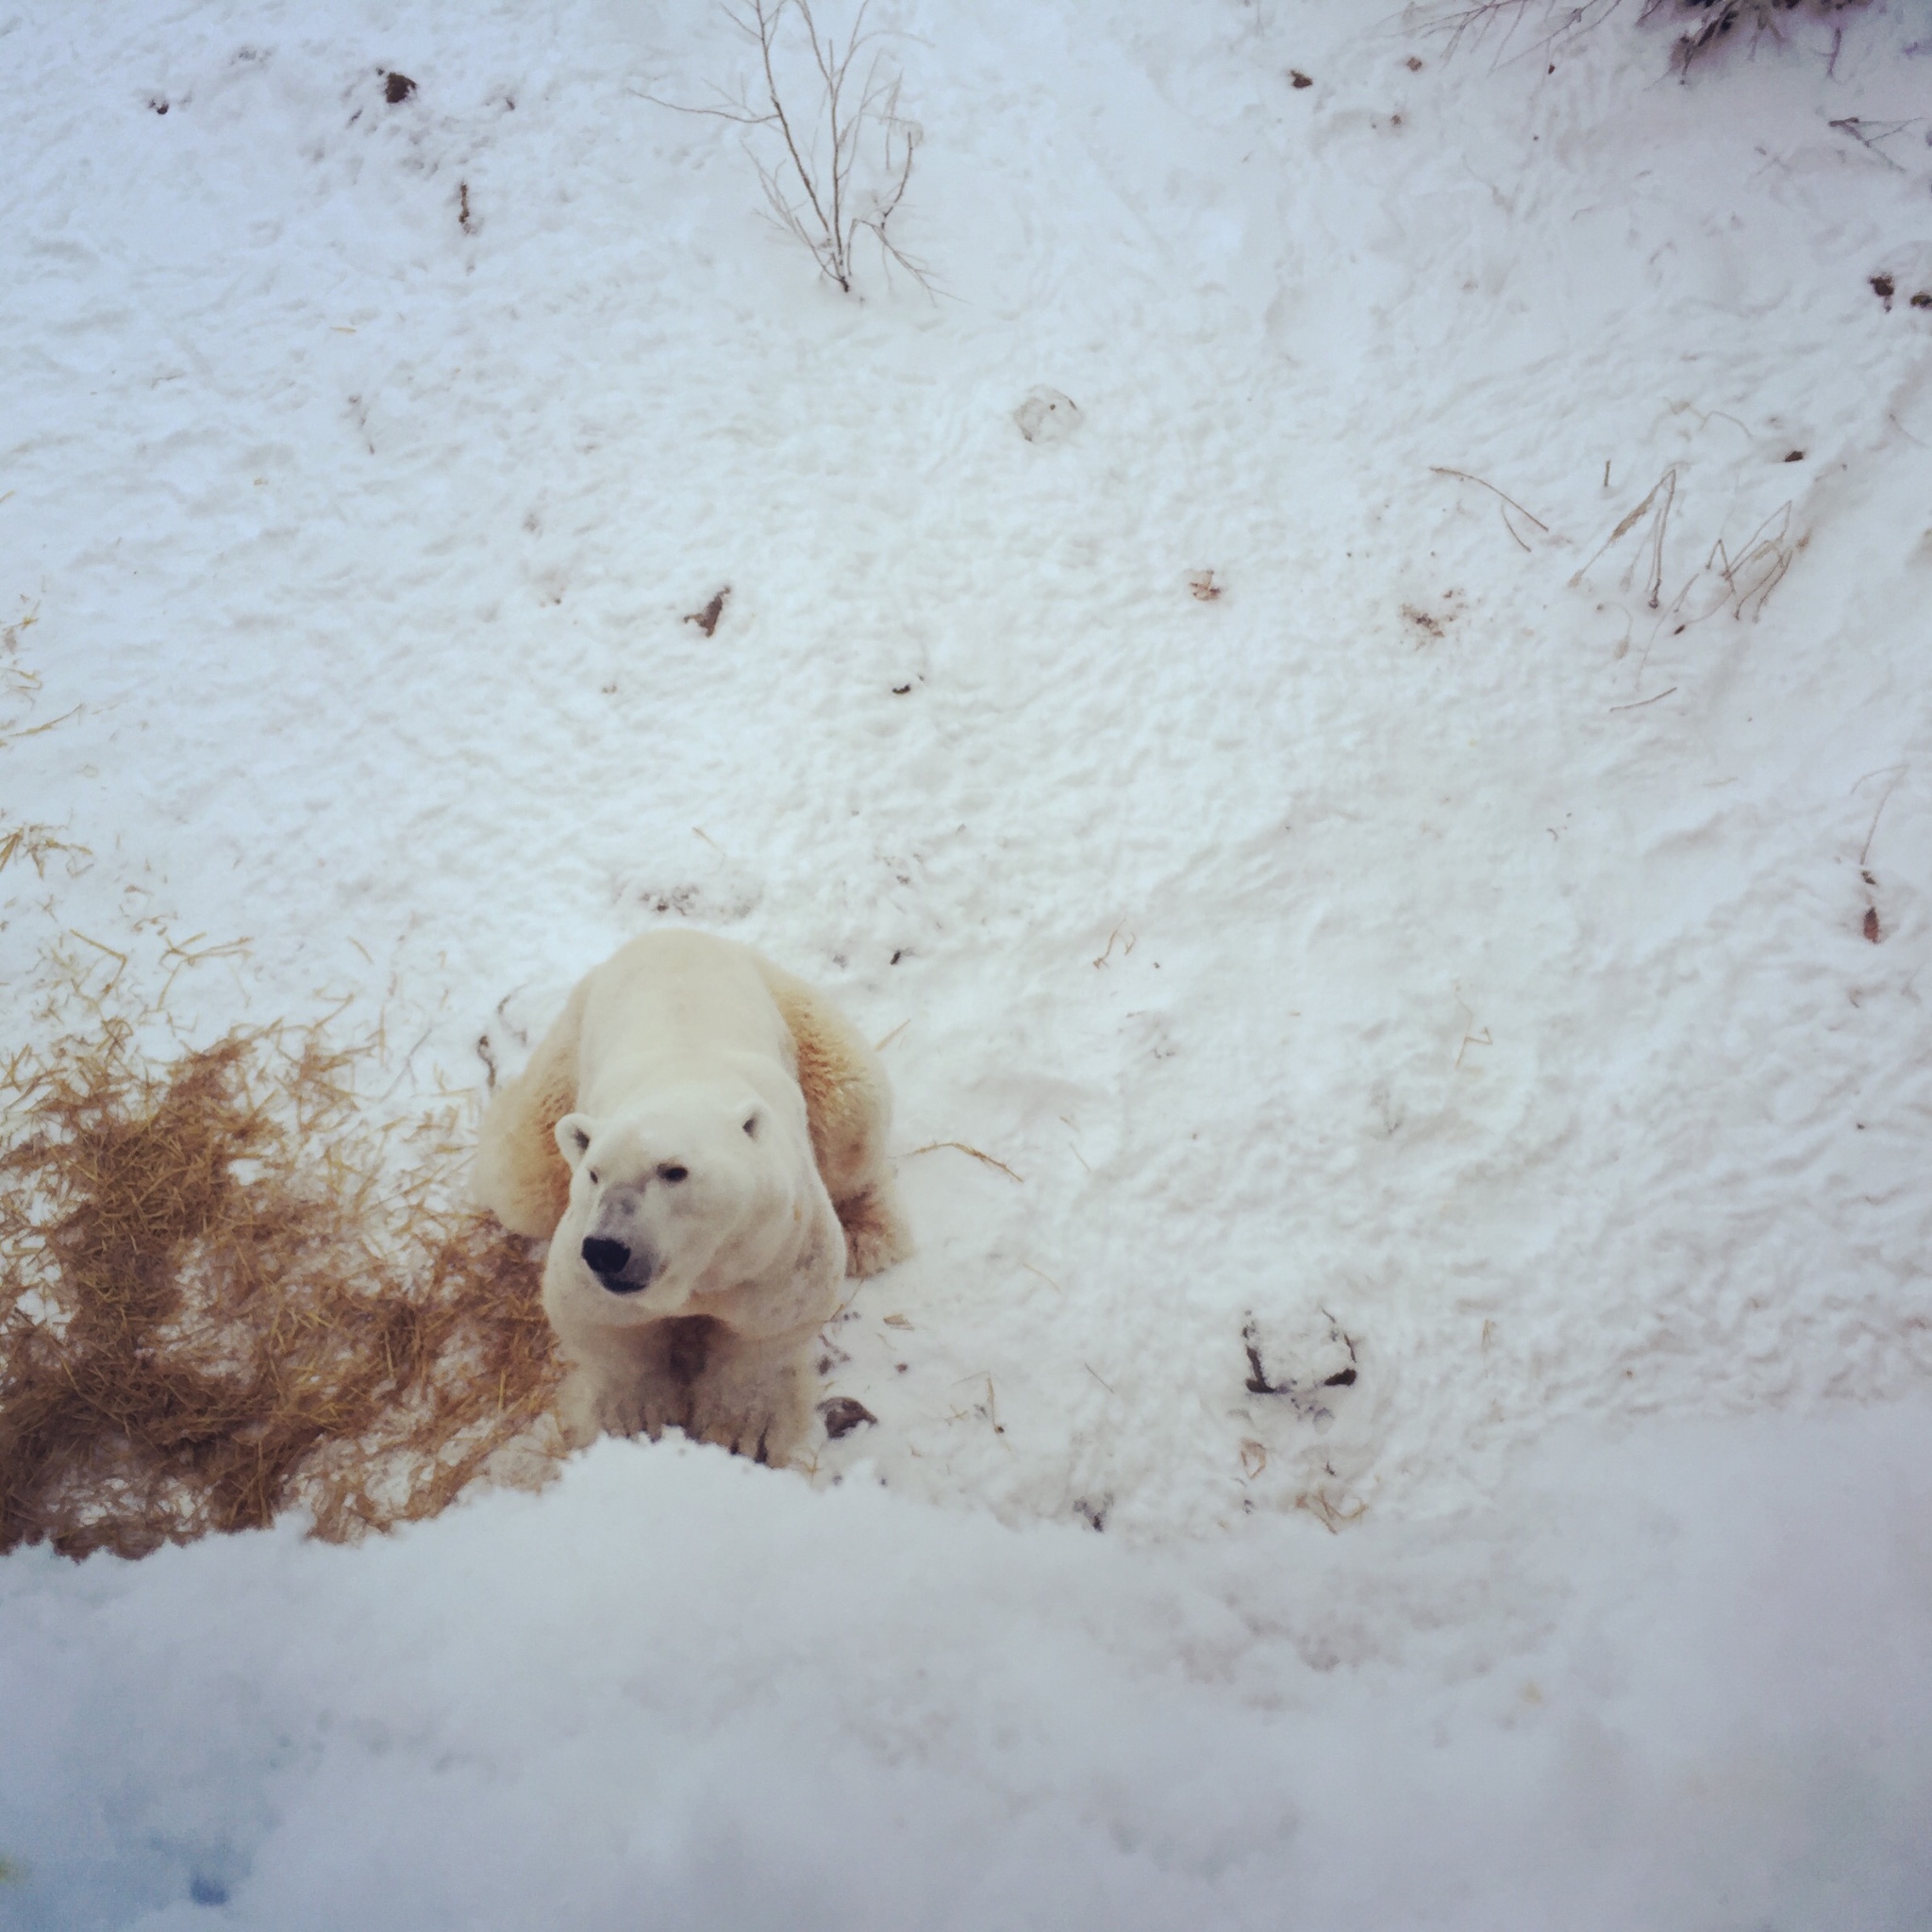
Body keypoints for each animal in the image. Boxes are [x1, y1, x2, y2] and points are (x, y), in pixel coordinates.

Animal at [475, 935, 911, 1460]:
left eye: (674, 1172)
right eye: (594, 1174)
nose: (606, 1249)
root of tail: (669, 934)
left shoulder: (777, 1245)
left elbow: (771, 1326)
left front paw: (743, 1431)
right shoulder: (583, 1248)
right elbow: (598, 1321)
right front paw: (633, 1418)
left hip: (802, 1019)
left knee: (853, 1113)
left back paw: (871, 1234)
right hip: (563, 1061)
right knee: (521, 1176)